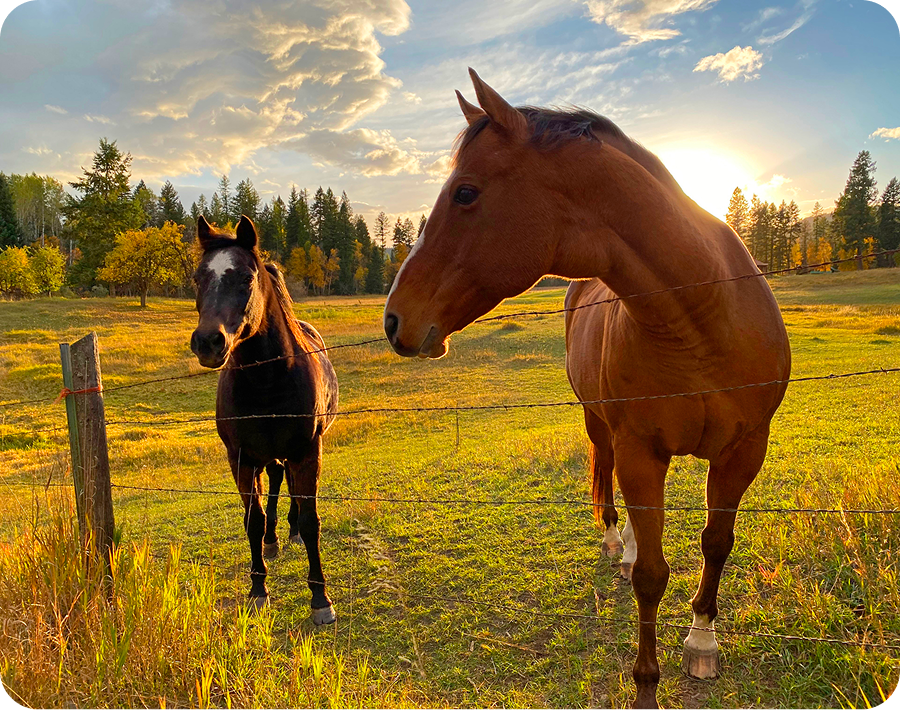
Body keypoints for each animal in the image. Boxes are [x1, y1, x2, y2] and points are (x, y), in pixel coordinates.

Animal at [190, 215, 339, 625]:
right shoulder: (240, 458)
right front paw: (258, 589)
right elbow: (252, 520)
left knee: (287, 485)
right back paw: (272, 539)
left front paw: (320, 599)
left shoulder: (307, 452)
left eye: (245, 277)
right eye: (197, 277)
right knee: (273, 482)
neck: (267, 380)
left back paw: (289, 531)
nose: (208, 342)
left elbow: (311, 519)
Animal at [383, 70, 790, 709]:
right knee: (610, 485)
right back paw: (619, 544)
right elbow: (651, 574)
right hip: (603, 427)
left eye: (466, 194)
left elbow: (716, 542)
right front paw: (646, 686)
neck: (701, 315)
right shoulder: (640, 450)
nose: (394, 319)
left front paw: (701, 639)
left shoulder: (744, 450)